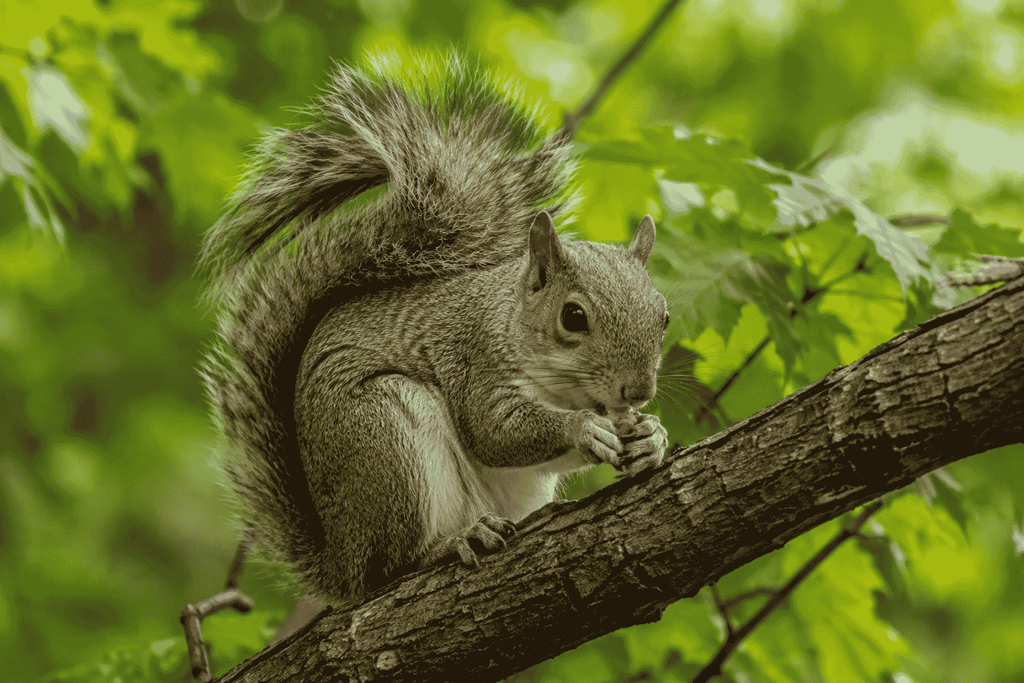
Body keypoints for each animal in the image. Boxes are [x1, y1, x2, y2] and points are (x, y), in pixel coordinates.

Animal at [199, 53, 670, 607]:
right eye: (573, 317)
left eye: (664, 316)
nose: (638, 392)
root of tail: (343, 559)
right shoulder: (474, 359)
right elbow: (494, 431)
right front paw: (583, 429)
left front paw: (651, 437)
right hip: (384, 442)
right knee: (391, 567)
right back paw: (451, 544)